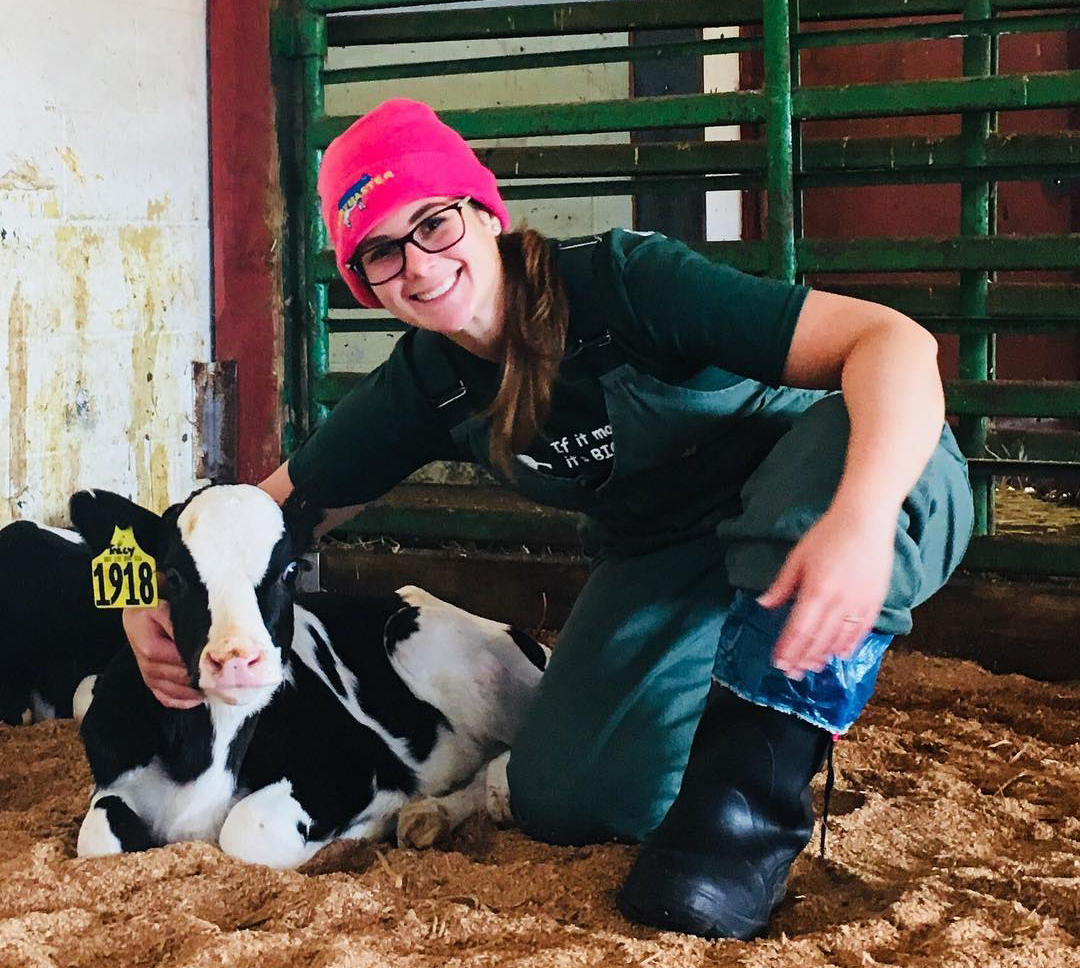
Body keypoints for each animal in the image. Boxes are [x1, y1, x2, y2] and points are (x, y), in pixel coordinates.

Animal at [67, 484, 548, 868]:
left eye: (290, 570)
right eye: (173, 575)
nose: (237, 658)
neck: (204, 759)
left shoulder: (355, 767)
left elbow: (245, 830)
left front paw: (371, 824)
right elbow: (99, 838)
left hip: (424, 644)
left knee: (499, 769)